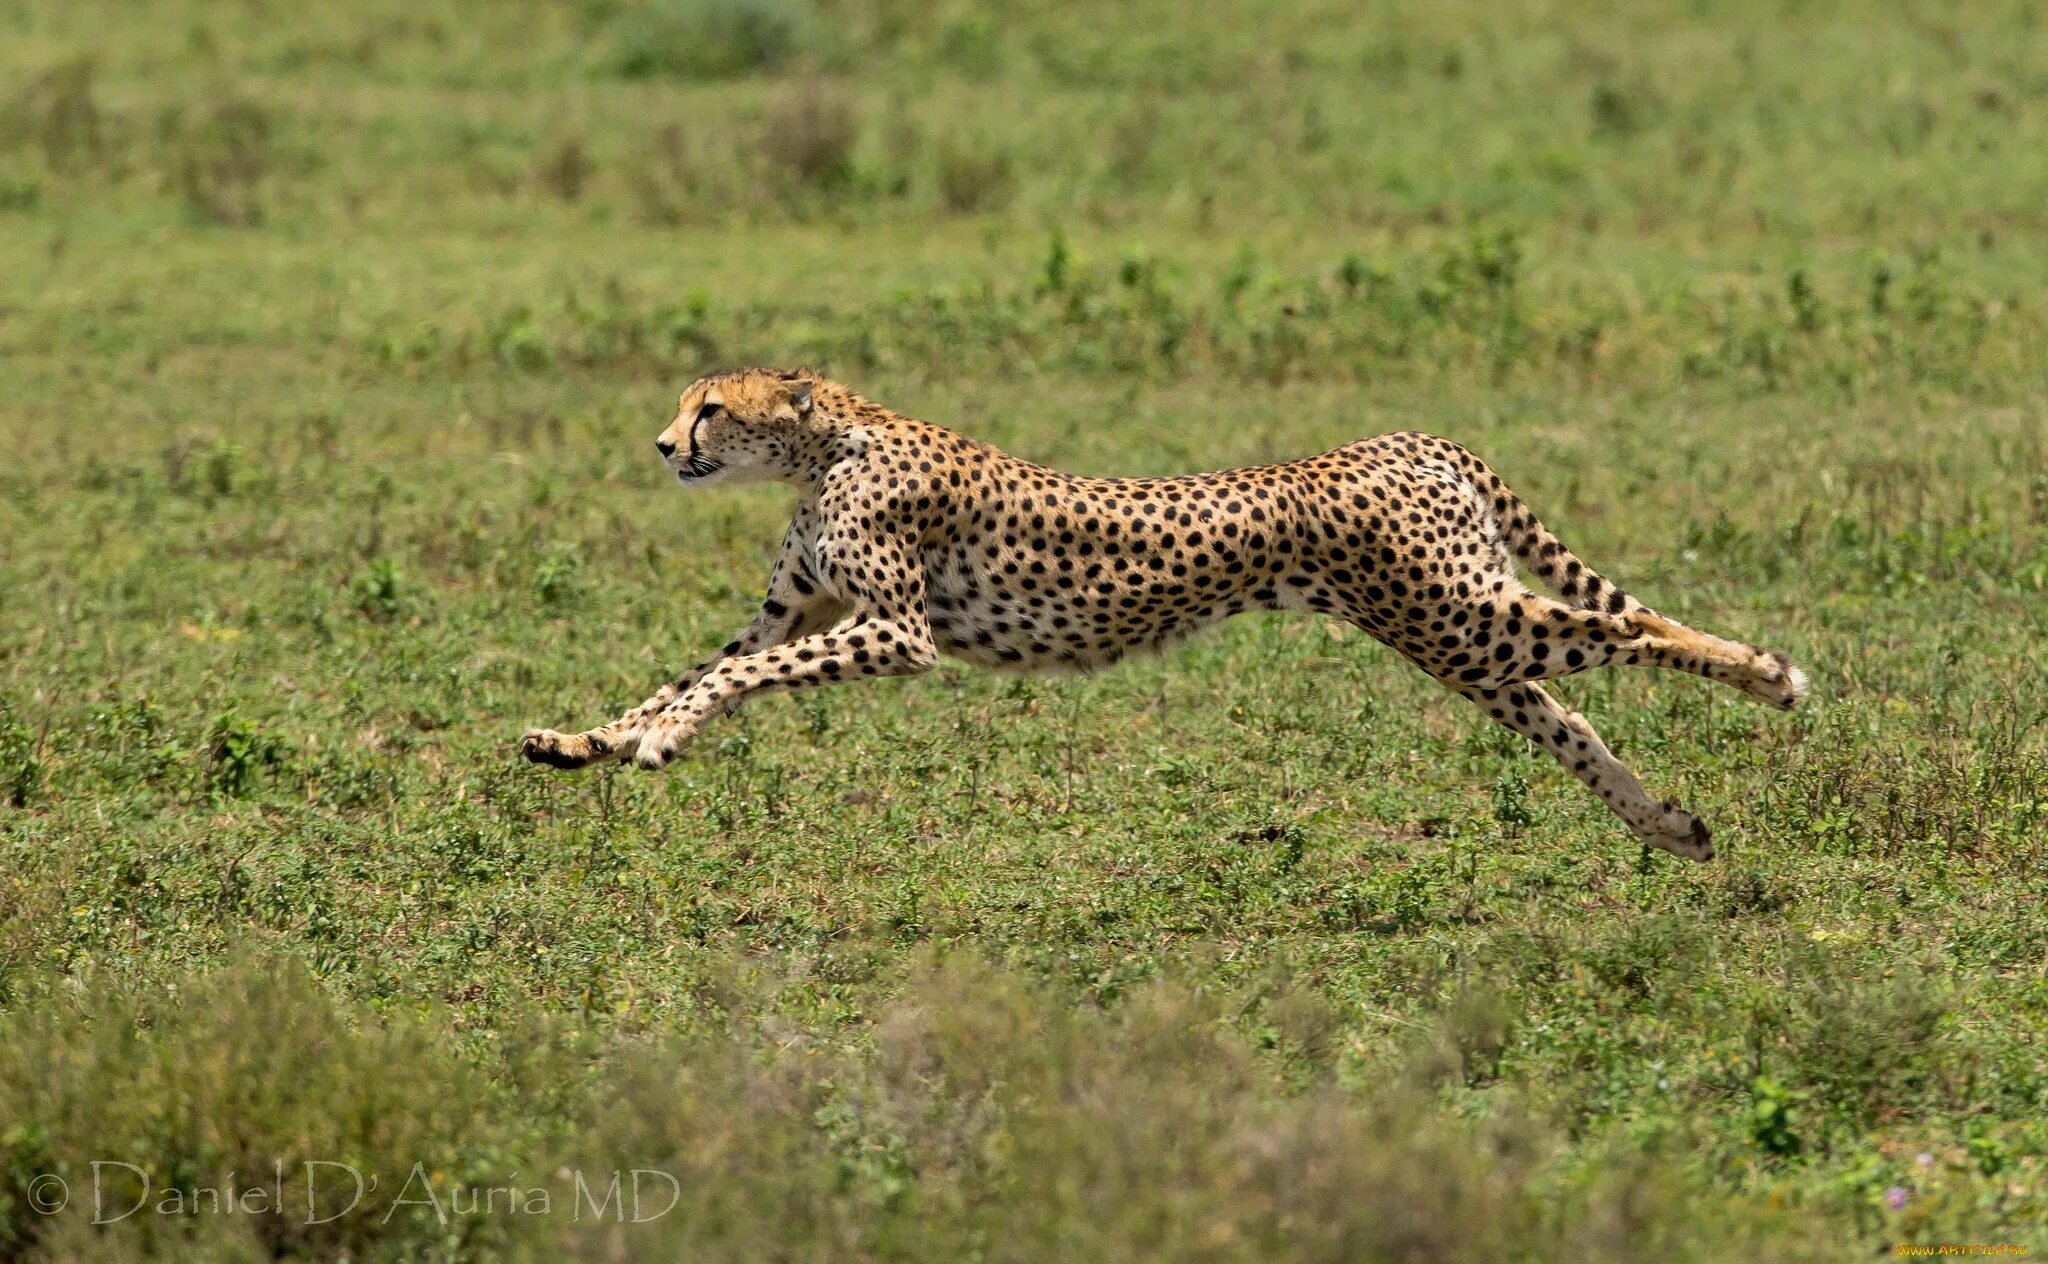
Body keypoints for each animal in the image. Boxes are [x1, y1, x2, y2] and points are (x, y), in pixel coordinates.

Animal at [528, 364, 1810, 856]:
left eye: (708, 406)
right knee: (1568, 714)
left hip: (1454, 611)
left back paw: (1769, 674)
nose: (662, 446)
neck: (826, 442)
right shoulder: (795, 612)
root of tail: (1404, 438)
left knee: (1632, 630)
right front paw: (584, 739)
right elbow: (695, 667)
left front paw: (660, 739)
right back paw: (1667, 825)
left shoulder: (892, 632)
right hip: (1450, 633)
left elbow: (727, 681)